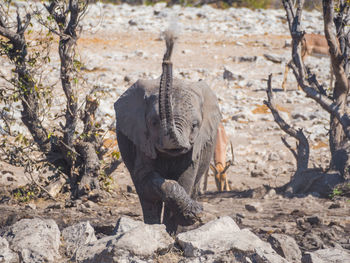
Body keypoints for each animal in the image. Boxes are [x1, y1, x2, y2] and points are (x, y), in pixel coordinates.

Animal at [113, 29, 220, 234]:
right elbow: (147, 180)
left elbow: (185, 180)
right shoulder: (142, 141)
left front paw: (184, 221)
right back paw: (152, 227)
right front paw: (191, 214)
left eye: (195, 125)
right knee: (145, 198)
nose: (167, 56)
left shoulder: (195, 147)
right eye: (154, 122)